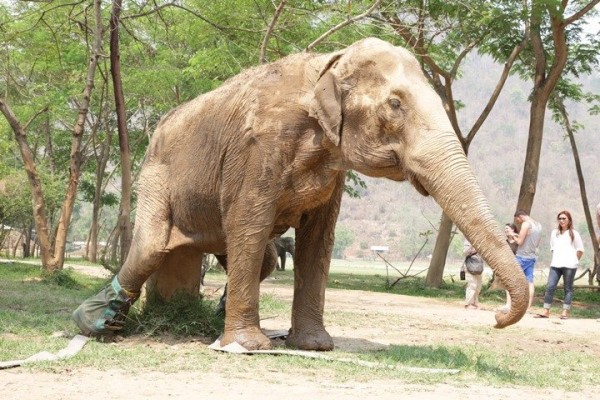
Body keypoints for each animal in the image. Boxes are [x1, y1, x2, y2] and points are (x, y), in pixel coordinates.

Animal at [72, 36, 528, 350]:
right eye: (395, 104)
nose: (497, 316)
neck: (328, 63)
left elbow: (318, 239)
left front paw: (314, 345)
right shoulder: (258, 147)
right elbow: (250, 224)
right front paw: (247, 346)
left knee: (258, 258)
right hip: (155, 174)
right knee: (152, 246)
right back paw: (91, 324)